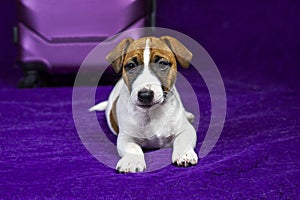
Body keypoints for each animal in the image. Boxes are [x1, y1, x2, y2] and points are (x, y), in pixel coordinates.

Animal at [89, 35, 197, 172]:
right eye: (131, 65)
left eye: (162, 63)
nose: (145, 95)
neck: (152, 113)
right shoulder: (126, 138)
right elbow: (132, 147)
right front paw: (131, 161)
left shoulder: (186, 129)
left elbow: (183, 140)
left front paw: (185, 154)